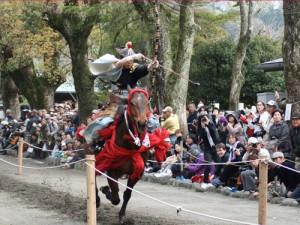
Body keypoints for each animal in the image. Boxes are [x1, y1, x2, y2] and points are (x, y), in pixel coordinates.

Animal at [95, 88, 152, 223]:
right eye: (132, 103)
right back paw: (97, 200)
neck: (130, 146)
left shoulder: (136, 173)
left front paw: (122, 215)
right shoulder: (112, 170)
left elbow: (127, 194)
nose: (142, 124)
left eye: (147, 103)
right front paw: (106, 190)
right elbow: (115, 196)